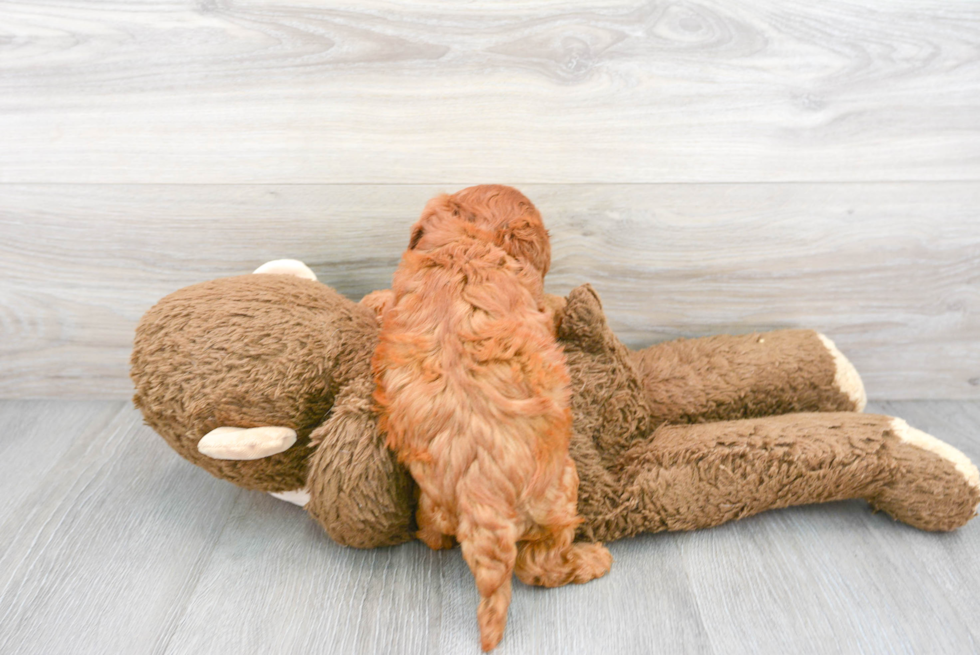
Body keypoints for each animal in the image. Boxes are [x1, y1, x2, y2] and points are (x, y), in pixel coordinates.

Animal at [374, 184, 612, 652]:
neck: (460, 244)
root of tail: (481, 489)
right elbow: (547, 307)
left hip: (434, 495)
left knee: (433, 530)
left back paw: (436, 537)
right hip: (561, 484)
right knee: (539, 564)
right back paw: (592, 559)